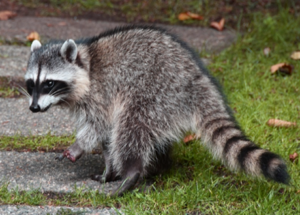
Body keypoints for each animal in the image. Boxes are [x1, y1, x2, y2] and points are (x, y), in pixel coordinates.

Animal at [24, 25, 290, 197]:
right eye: (30, 84)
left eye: (49, 83)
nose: (34, 108)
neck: (86, 64)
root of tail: (196, 78)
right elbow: (106, 138)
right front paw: (108, 169)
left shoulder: (102, 93)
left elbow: (100, 127)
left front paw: (78, 147)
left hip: (155, 91)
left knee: (132, 127)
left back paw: (132, 173)